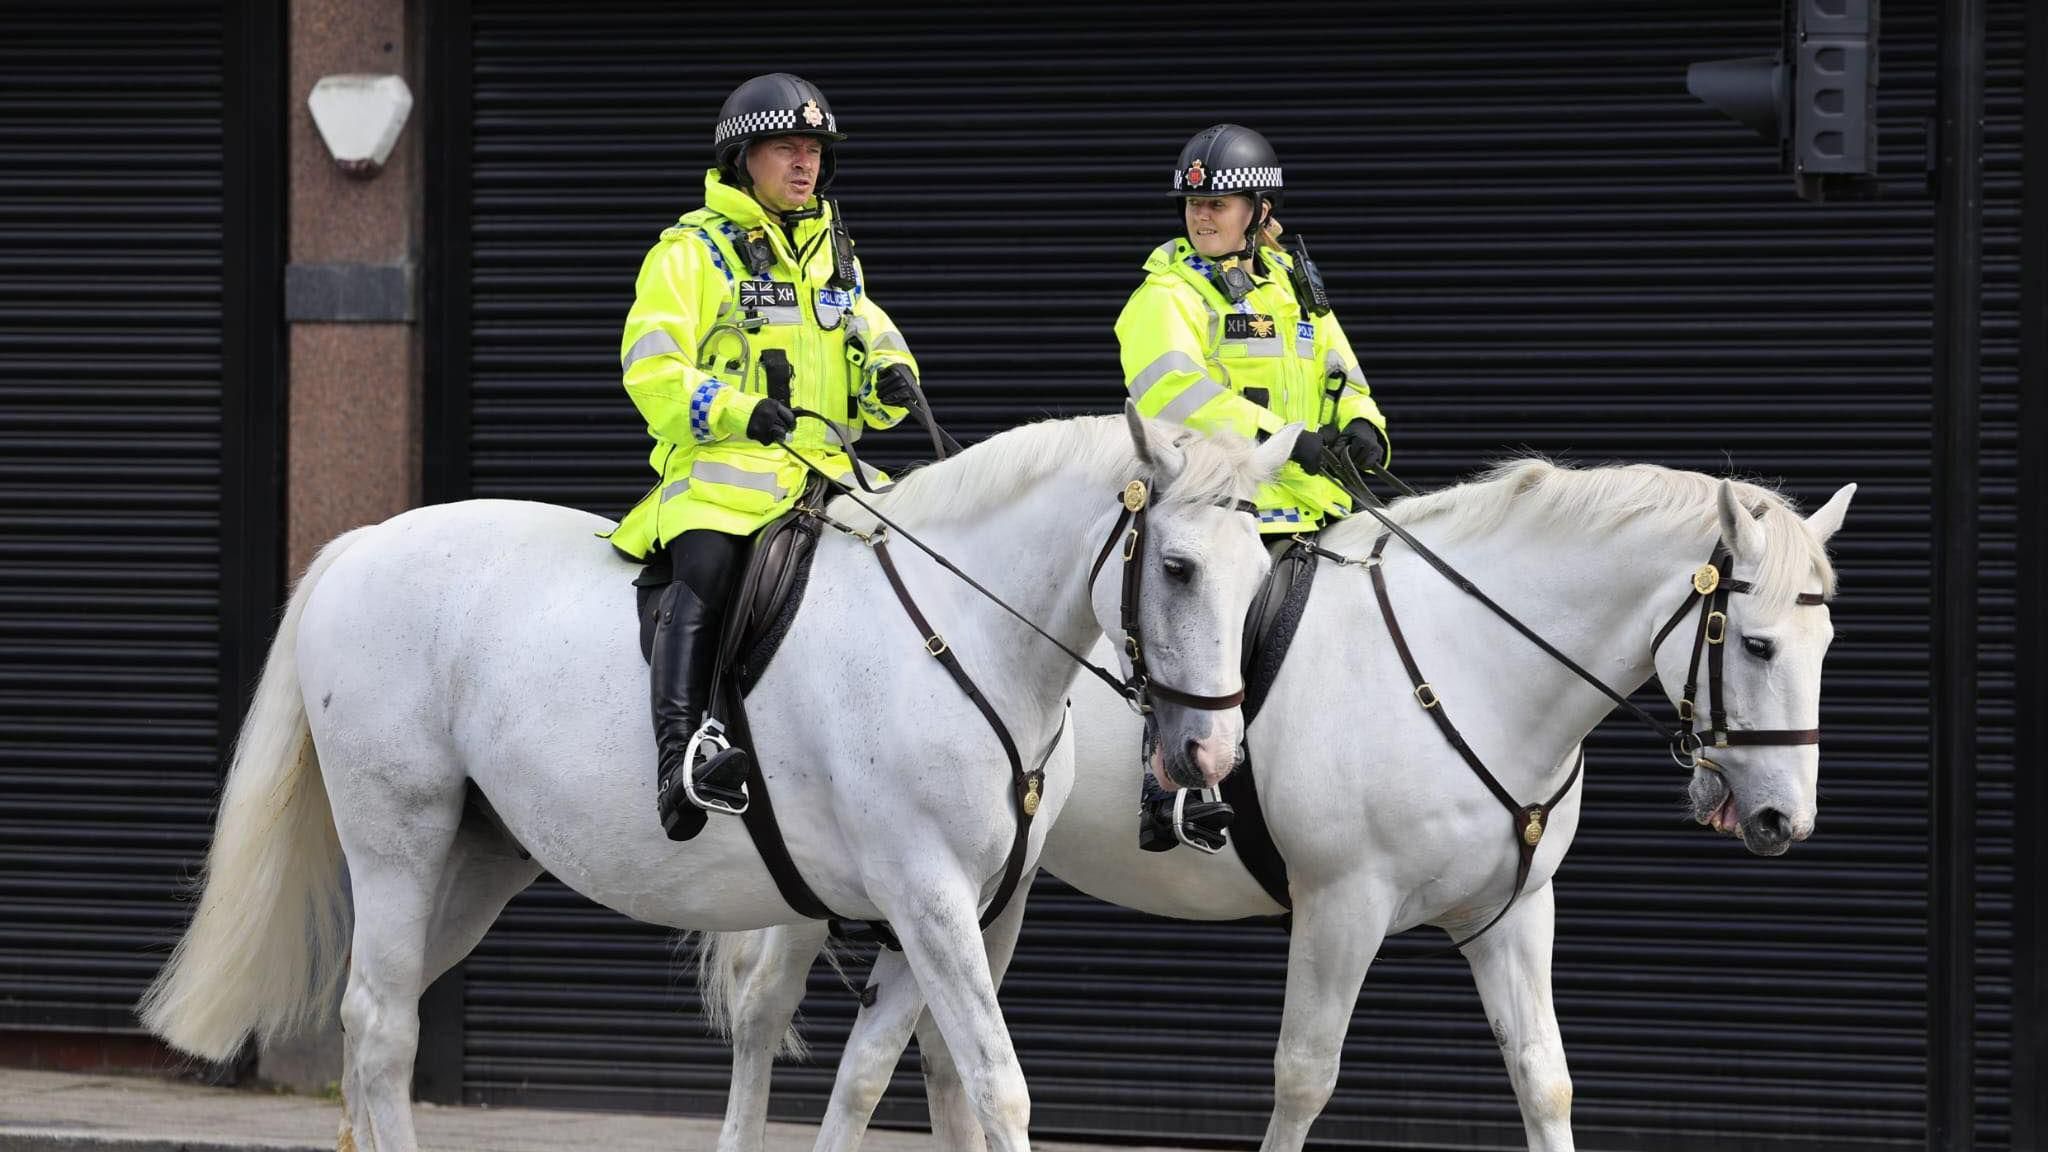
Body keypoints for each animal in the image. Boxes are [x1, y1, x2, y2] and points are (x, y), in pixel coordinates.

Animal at [144, 409, 1302, 1147]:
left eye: (1259, 571)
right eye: (1176, 568)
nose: (1209, 758)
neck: (956, 630)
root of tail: (363, 546)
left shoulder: (972, 909)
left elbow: (872, 1080)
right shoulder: (925, 899)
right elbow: (997, 1085)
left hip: (474, 864)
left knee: (370, 1022)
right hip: (399, 843)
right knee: (384, 1032)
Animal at [704, 459, 1859, 1147]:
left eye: (1826, 643)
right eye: (1757, 645)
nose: (1781, 822)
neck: (1465, 659)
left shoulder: (1513, 912)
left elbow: (1545, 1080)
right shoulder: (1342, 907)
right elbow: (1304, 1076)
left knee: (939, 1055)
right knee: (765, 1018)